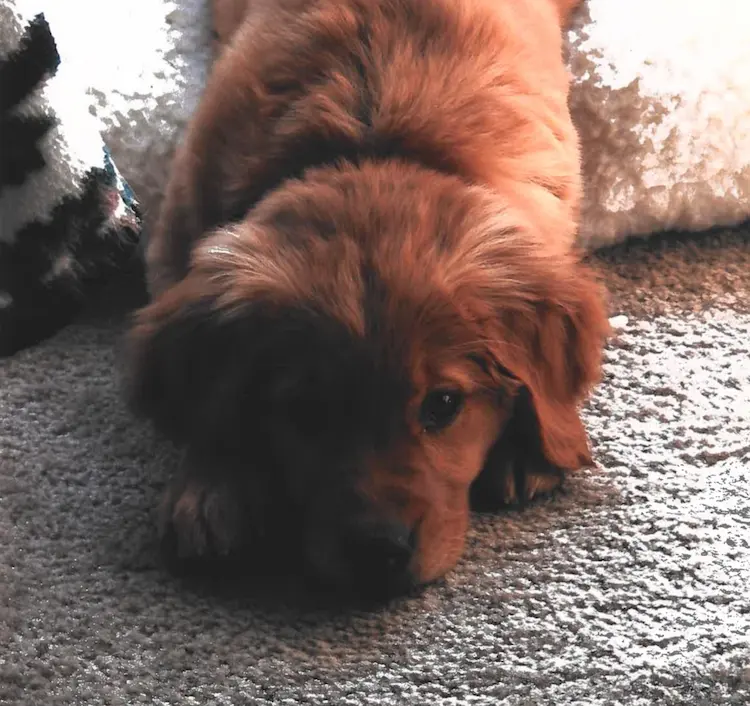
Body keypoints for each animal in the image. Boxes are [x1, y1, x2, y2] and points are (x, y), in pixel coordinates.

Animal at [126, 0, 612, 600]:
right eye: (306, 410)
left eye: (443, 404)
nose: (380, 551)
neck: (372, 144)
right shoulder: (176, 234)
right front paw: (214, 484)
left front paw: (528, 448)